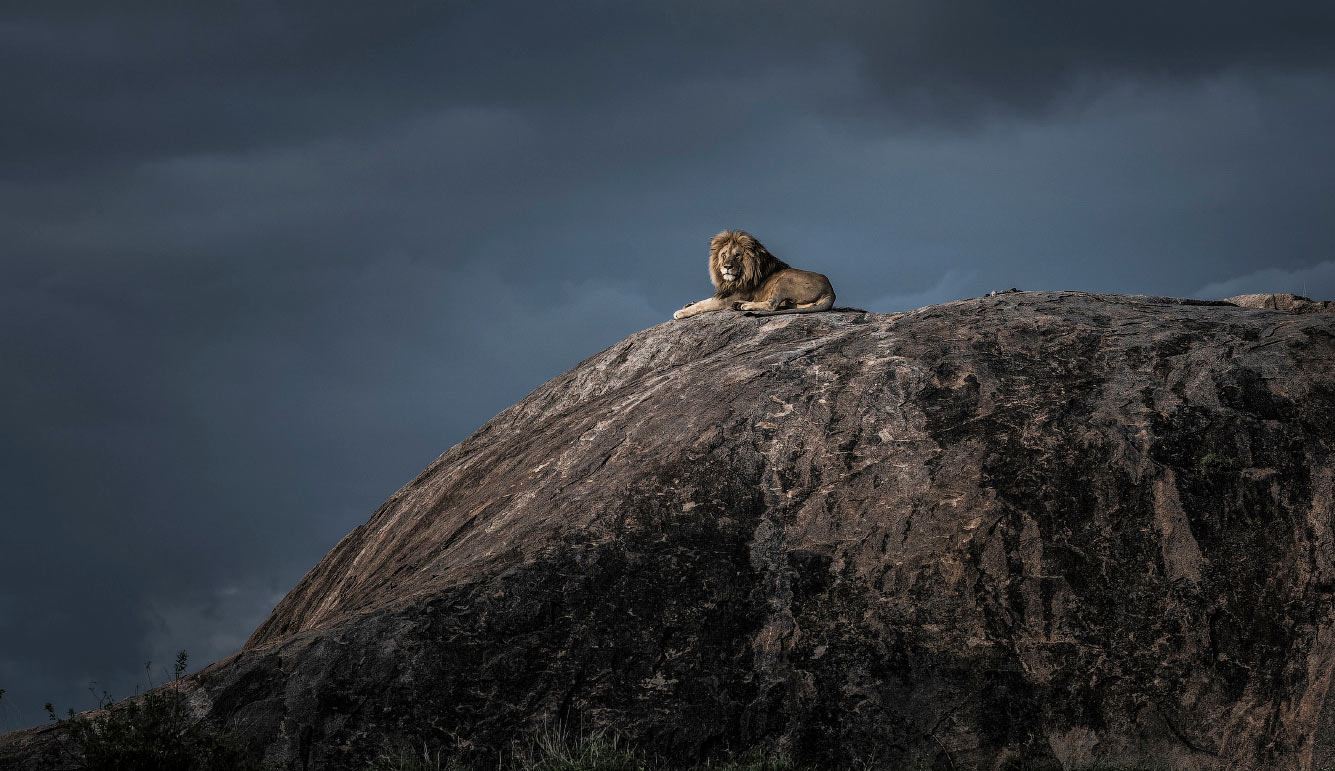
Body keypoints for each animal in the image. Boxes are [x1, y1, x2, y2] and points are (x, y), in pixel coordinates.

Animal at [678, 230, 833, 321]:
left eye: (737, 256)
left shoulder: (729, 298)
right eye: (723, 255)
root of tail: (831, 291)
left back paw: (744, 305)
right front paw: (689, 304)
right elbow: (704, 300)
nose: (727, 267)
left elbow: (705, 304)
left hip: (784, 280)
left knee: (772, 305)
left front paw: (681, 312)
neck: (734, 280)